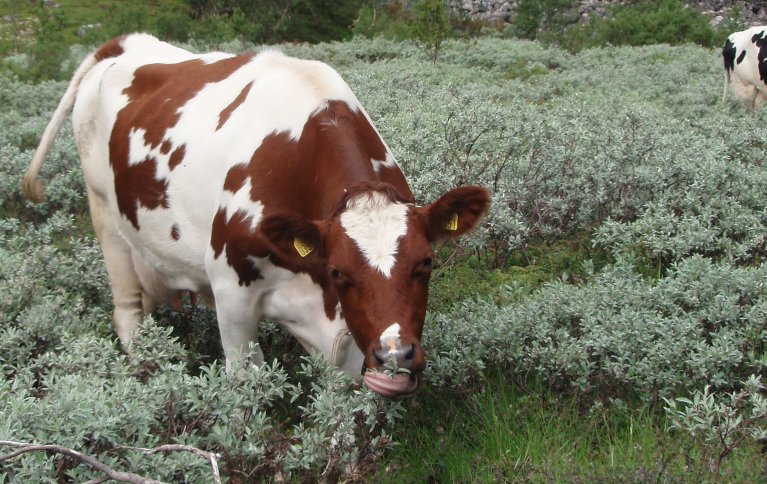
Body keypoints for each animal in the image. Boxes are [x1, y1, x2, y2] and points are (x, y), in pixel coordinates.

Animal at [25, 34, 492, 398]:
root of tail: (126, 43)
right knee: (127, 313)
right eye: (339, 271)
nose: (395, 357)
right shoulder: (232, 294)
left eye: (426, 262)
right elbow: (246, 386)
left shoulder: (345, 329)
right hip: (105, 216)